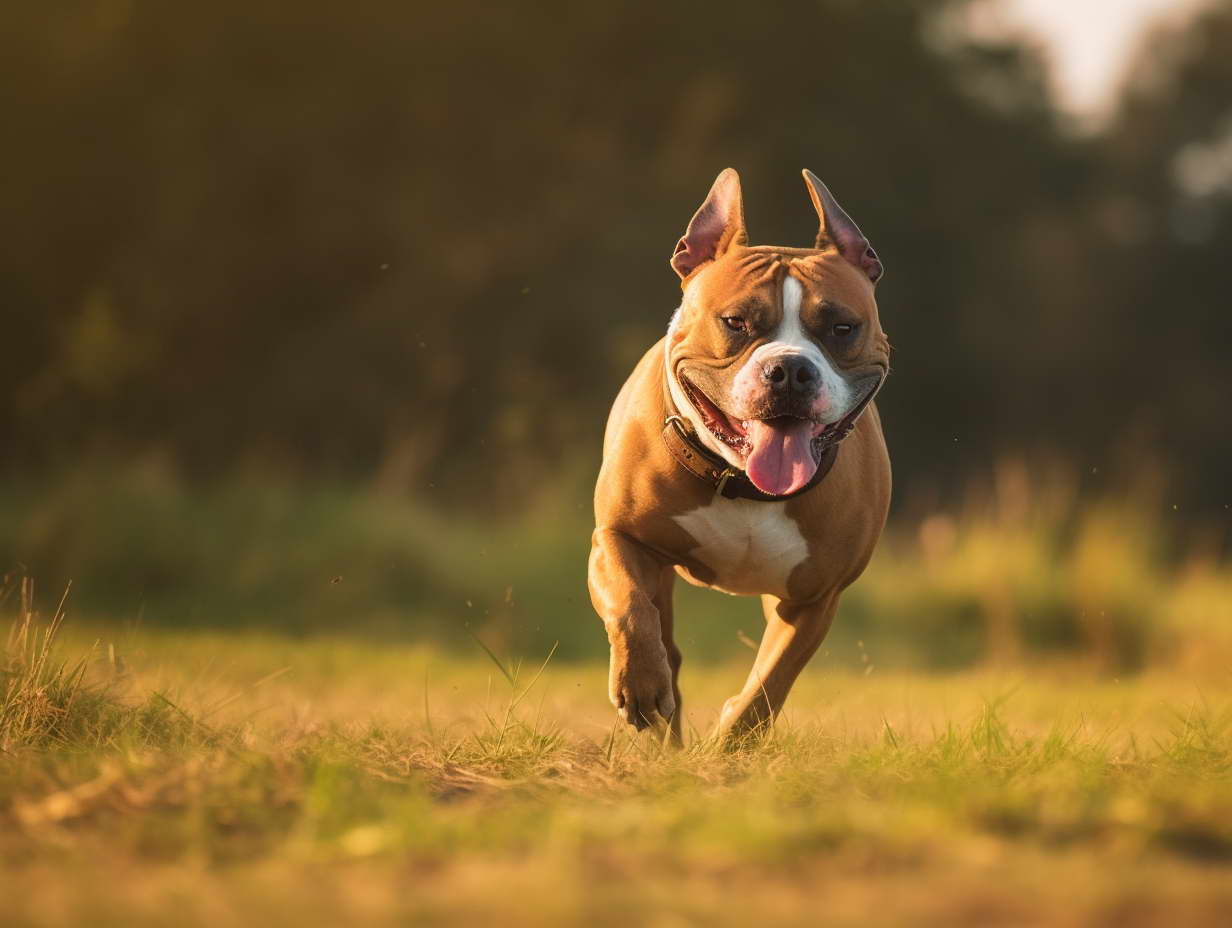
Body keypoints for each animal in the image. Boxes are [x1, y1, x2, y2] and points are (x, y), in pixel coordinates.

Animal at [588, 166, 891, 744]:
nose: (790, 370)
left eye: (842, 328)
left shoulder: (815, 599)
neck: (742, 483)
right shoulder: (619, 537)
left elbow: (770, 683)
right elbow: (628, 604)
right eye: (736, 322)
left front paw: (729, 741)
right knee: (664, 639)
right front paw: (639, 684)